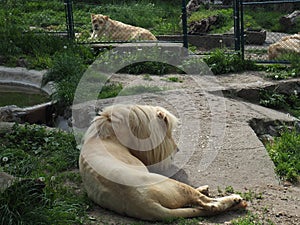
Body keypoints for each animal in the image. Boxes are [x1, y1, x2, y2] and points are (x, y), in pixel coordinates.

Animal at [78, 104, 247, 221]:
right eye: (168, 133)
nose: (177, 149)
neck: (107, 134)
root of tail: (144, 203)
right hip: (174, 185)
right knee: (210, 204)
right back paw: (235, 200)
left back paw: (205, 189)